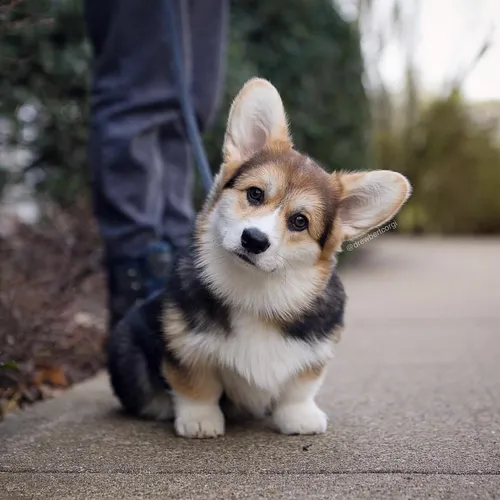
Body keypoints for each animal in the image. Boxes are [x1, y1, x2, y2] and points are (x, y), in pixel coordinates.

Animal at [107, 77, 412, 438]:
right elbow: (196, 384)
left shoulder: (314, 352)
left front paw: (300, 417)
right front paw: (200, 420)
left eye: (300, 221)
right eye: (255, 193)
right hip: (126, 347)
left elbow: (300, 387)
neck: (257, 292)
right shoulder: (184, 345)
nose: (253, 240)